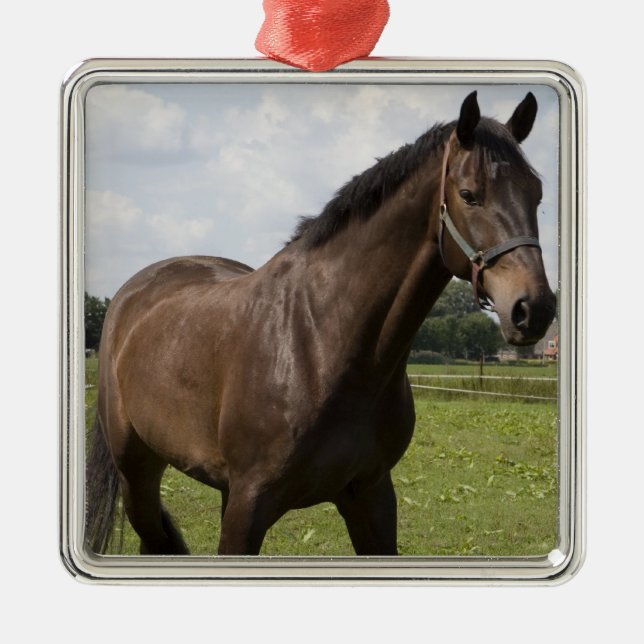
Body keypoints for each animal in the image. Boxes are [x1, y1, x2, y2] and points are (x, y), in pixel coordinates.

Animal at [86, 91, 556, 556]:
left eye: (537, 194)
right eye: (469, 194)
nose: (534, 309)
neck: (321, 342)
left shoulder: (371, 496)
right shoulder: (248, 505)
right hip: (138, 474)